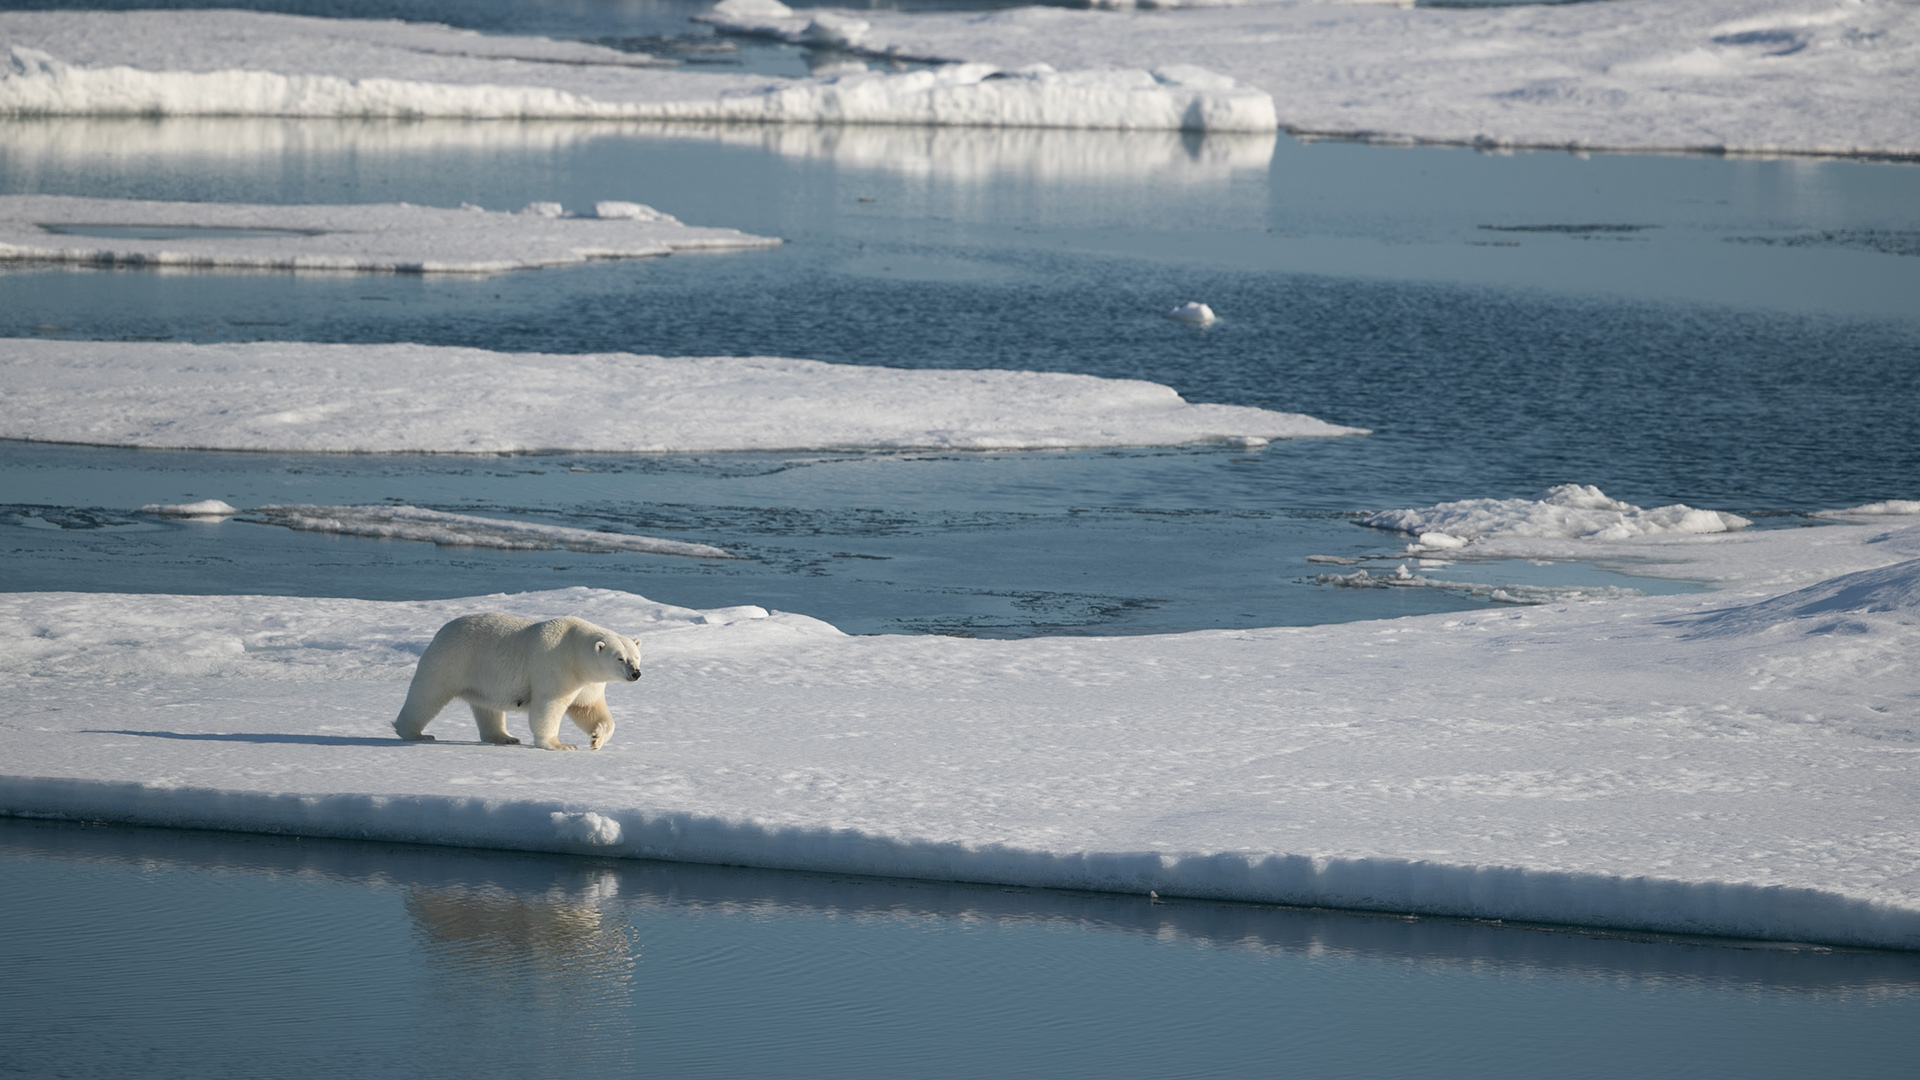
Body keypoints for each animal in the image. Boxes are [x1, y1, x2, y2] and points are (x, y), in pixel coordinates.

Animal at [393, 614, 641, 749]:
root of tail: (441, 631)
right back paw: (416, 733)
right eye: (620, 658)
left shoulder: (587, 680)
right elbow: (549, 706)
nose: (636, 673)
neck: (574, 649)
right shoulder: (556, 666)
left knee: (487, 708)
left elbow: (588, 708)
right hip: (452, 660)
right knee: (428, 695)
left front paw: (597, 739)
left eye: (636, 656)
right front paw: (560, 745)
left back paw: (505, 737)